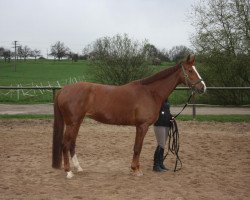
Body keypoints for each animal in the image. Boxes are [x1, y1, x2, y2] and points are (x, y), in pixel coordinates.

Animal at [51, 54, 206, 178]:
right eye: (190, 71)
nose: (203, 87)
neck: (150, 92)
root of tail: (63, 90)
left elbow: (137, 147)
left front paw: (135, 169)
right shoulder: (142, 126)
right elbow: (138, 147)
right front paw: (136, 170)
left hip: (77, 122)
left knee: (72, 143)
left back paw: (78, 168)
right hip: (72, 123)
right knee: (65, 144)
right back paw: (68, 172)